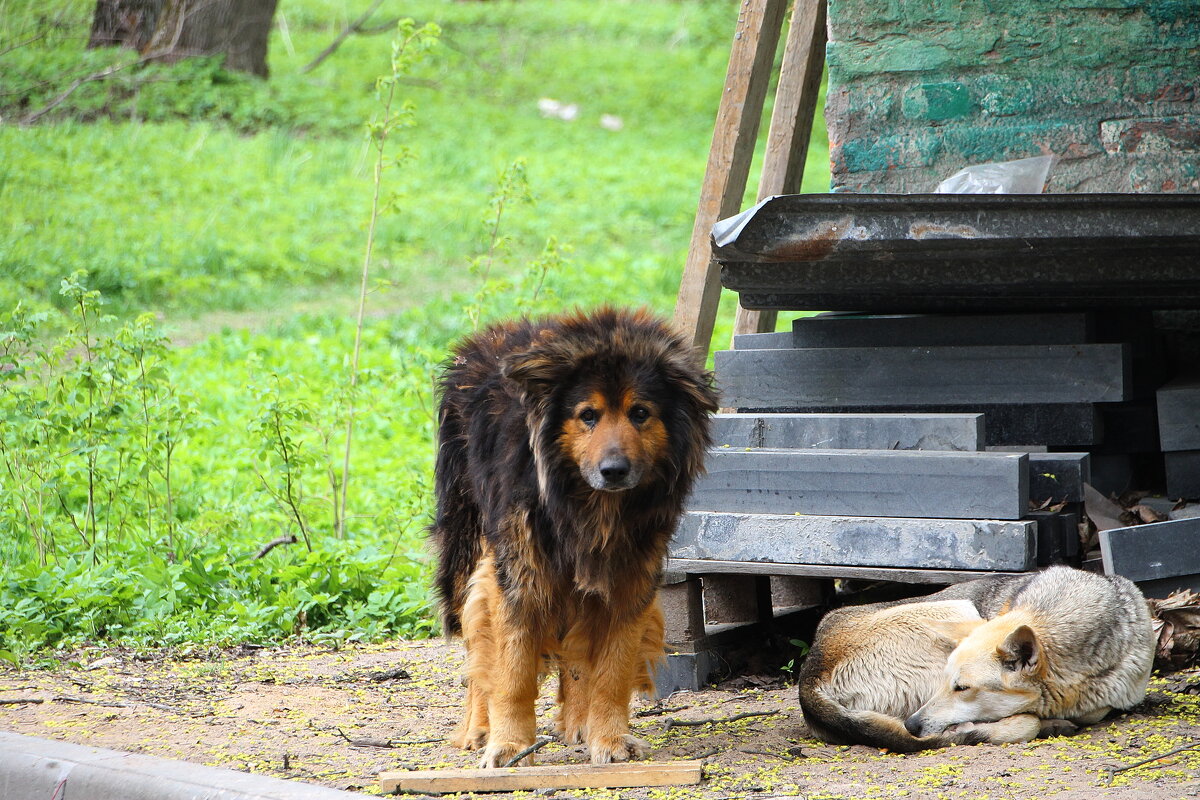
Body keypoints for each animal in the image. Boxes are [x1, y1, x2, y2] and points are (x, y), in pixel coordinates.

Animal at [432, 309, 715, 767]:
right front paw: (509, 746)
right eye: (587, 415)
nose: (614, 470)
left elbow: (611, 669)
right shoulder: (519, 576)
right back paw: (478, 727)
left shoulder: (628, 577)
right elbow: (511, 671)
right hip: (468, 551)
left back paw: (578, 722)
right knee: (477, 642)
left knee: (577, 651)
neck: (586, 505)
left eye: (640, 413)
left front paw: (610, 739)